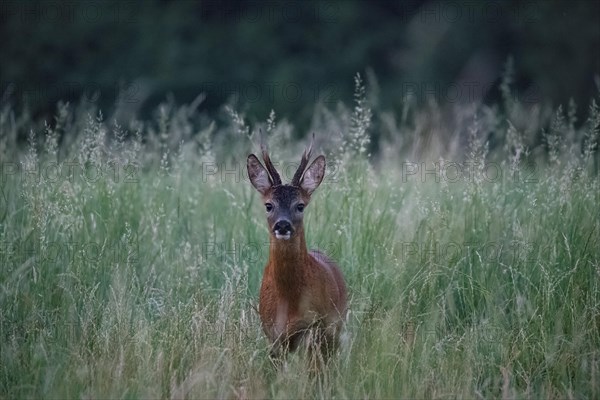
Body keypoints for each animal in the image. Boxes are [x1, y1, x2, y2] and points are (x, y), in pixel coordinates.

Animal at [245, 135, 346, 366]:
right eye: (268, 205)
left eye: (300, 205)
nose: (283, 225)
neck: (289, 301)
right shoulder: (272, 333)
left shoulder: (313, 326)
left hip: (335, 327)